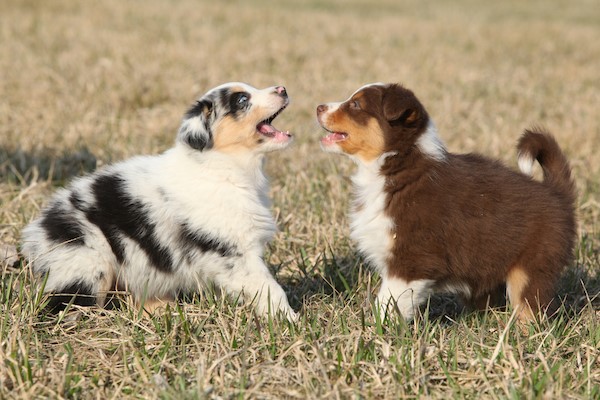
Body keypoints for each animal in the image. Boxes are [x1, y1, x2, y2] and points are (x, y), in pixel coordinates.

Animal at [21, 83, 298, 320]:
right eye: (242, 100)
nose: (283, 88)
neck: (222, 165)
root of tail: (35, 233)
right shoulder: (235, 252)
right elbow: (269, 287)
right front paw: (289, 320)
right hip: (88, 261)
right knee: (73, 303)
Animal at [318, 83, 576, 322]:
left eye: (356, 104)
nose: (319, 107)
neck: (397, 165)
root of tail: (555, 193)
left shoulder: (411, 261)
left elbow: (388, 302)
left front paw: (378, 330)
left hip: (531, 268)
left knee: (531, 310)